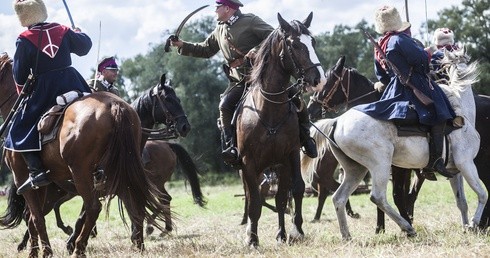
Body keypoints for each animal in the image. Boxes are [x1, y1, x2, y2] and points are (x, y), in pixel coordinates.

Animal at [0, 53, 168, 256]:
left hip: (80, 173)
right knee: (134, 203)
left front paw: (45, 251)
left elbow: (37, 217)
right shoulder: (38, 185)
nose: (184, 126)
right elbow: (35, 217)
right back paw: (138, 245)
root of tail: (114, 105)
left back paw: (78, 247)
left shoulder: (23, 178)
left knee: (94, 207)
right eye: (168, 99)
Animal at [236, 12, 328, 246]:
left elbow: (292, 191)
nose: (319, 80)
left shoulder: (289, 156)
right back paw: (249, 231)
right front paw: (252, 239)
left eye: (313, 42)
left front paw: (292, 232)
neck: (269, 109)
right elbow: (254, 201)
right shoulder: (249, 163)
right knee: (251, 195)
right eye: (295, 45)